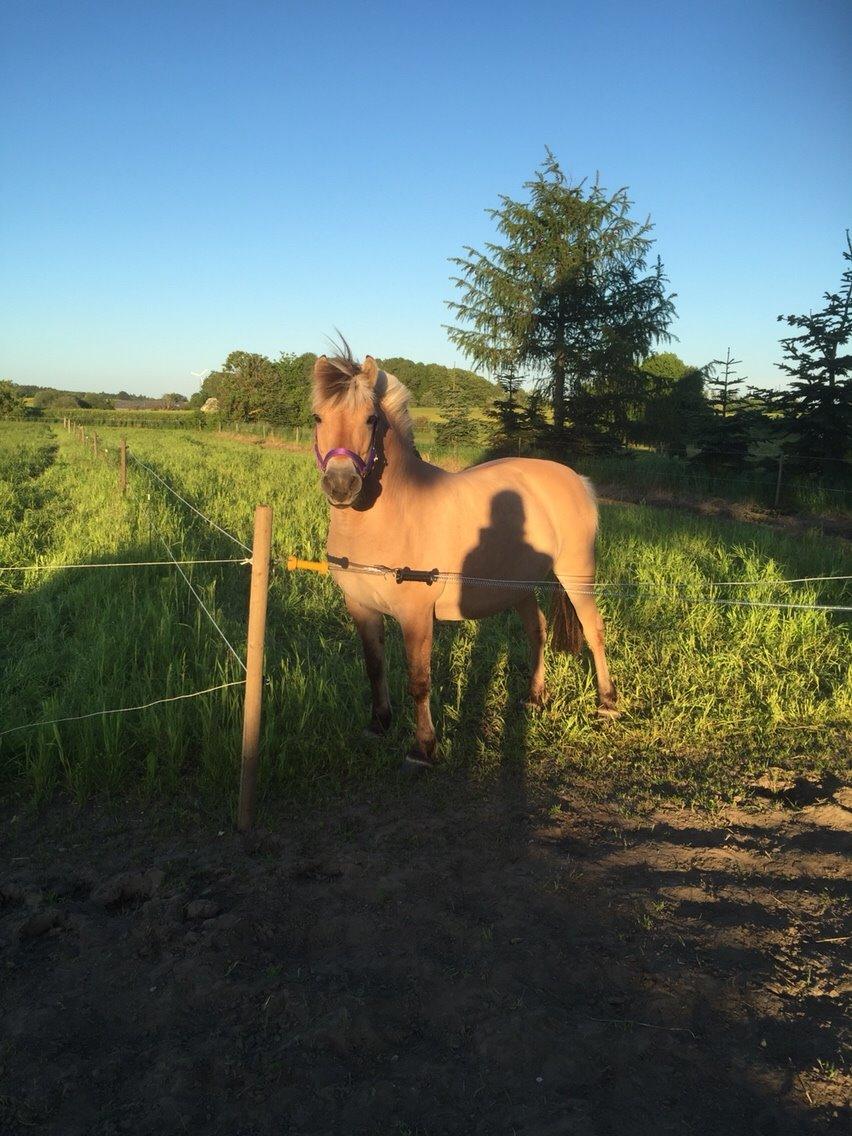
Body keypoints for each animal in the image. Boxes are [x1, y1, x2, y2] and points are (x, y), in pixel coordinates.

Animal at [313, 347, 622, 772]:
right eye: (317, 417)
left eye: (370, 418)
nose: (341, 484)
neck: (392, 514)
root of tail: (577, 479)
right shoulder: (360, 606)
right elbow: (374, 667)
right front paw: (378, 724)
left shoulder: (415, 616)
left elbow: (419, 680)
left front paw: (423, 748)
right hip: (519, 588)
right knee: (537, 631)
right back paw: (534, 697)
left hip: (577, 576)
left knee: (594, 630)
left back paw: (607, 703)